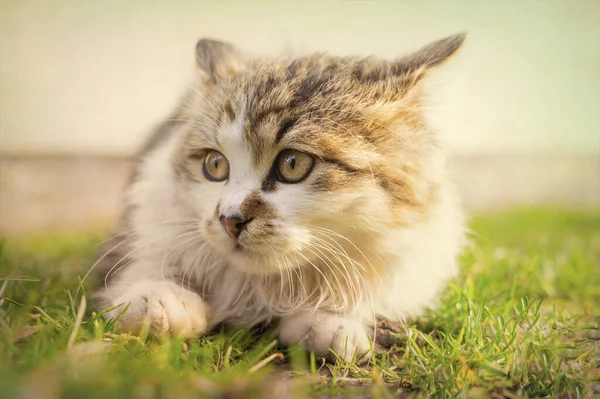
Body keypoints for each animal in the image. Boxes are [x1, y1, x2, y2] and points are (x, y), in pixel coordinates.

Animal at [95, 34, 468, 364]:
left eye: (292, 164)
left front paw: (328, 323)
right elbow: (147, 267)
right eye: (214, 164)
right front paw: (159, 300)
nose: (230, 219)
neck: (263, 287)